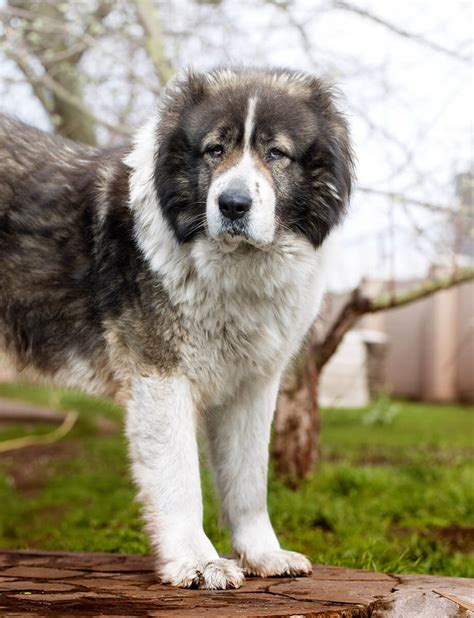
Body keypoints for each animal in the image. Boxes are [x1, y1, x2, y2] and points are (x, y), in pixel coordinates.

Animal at [0, 66, 352, 588]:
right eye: (215, 150)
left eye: (276, 153)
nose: (232, 204)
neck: (232, 270)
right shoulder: (162, 380)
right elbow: (181, 479)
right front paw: (198, 561)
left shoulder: (251, 387)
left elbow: (249, 481)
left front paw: (262, 554)